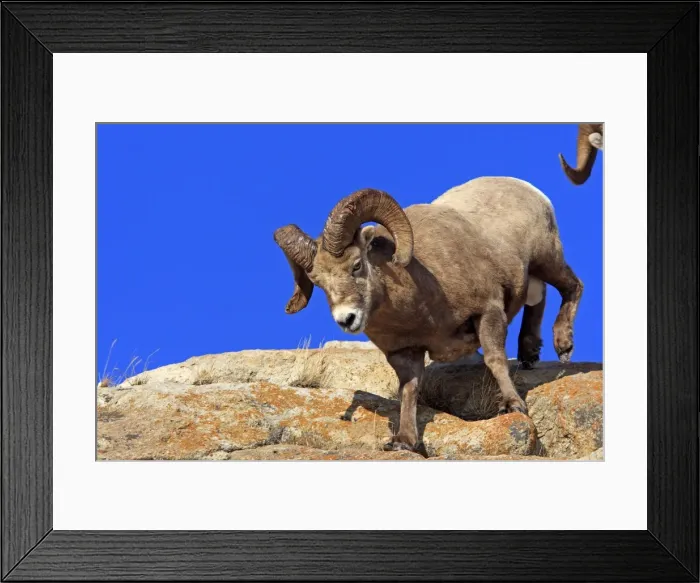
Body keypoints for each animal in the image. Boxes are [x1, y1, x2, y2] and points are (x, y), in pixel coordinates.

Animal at [273, 177, 583, 453]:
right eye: (319, 283)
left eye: (357, 265)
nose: (346, 319)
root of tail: (529, 189)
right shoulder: (404, 352)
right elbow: (408, 391)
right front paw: (404, 441)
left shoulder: (488, 312)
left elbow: (495, 360)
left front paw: (512, 405)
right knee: (539, 298)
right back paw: (530, 353)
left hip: (547, 259)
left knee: (572, 286)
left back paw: (563, 345)